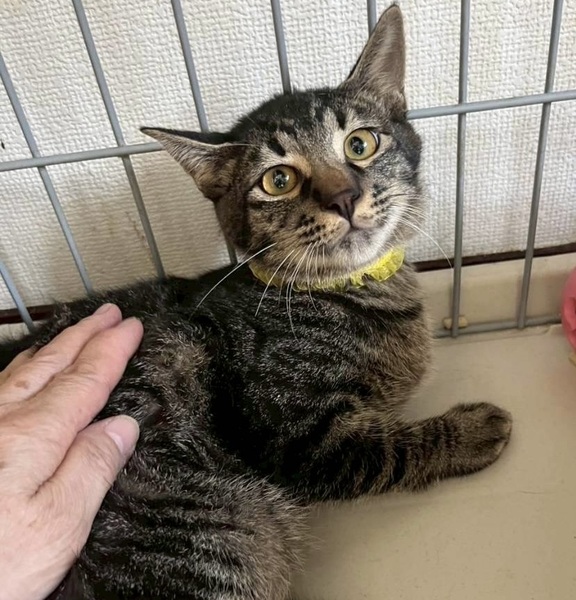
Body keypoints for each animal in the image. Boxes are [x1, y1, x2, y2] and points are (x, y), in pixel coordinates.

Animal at [0, 5, 512, 599]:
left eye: (360, 144)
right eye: (279, 179)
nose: (344, 197)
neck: (346, 288)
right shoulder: (298, 442)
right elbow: (389, 450)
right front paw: (470, 429)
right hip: (215, 538)